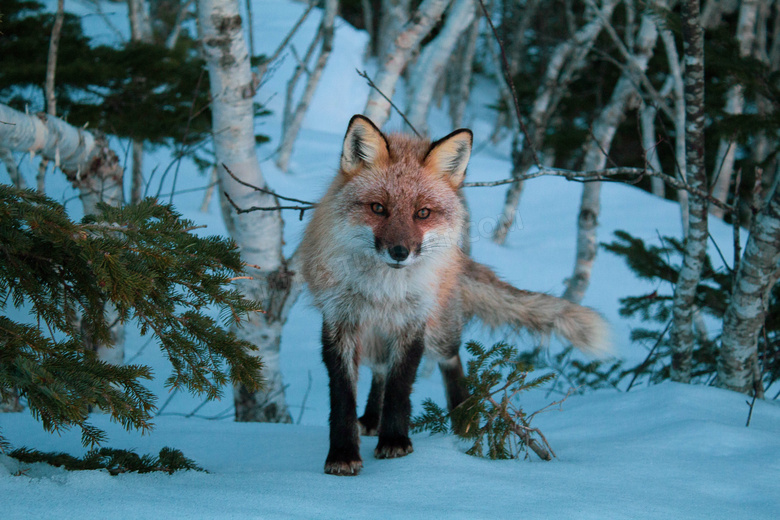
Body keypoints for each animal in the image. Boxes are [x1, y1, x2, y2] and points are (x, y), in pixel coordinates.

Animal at [298, 116, 608, 478]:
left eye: (422, 213)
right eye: (378, 208)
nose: (400, 252)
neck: (384, 290)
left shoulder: (414, 321)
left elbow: (400, 387)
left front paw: (396, 441)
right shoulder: (340, 321)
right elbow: (343, 396)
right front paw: (344, 453)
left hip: (437, 331)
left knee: (450, 358)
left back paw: (463, 419)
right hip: (374, 338)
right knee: (380, 371)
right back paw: (373, 419)